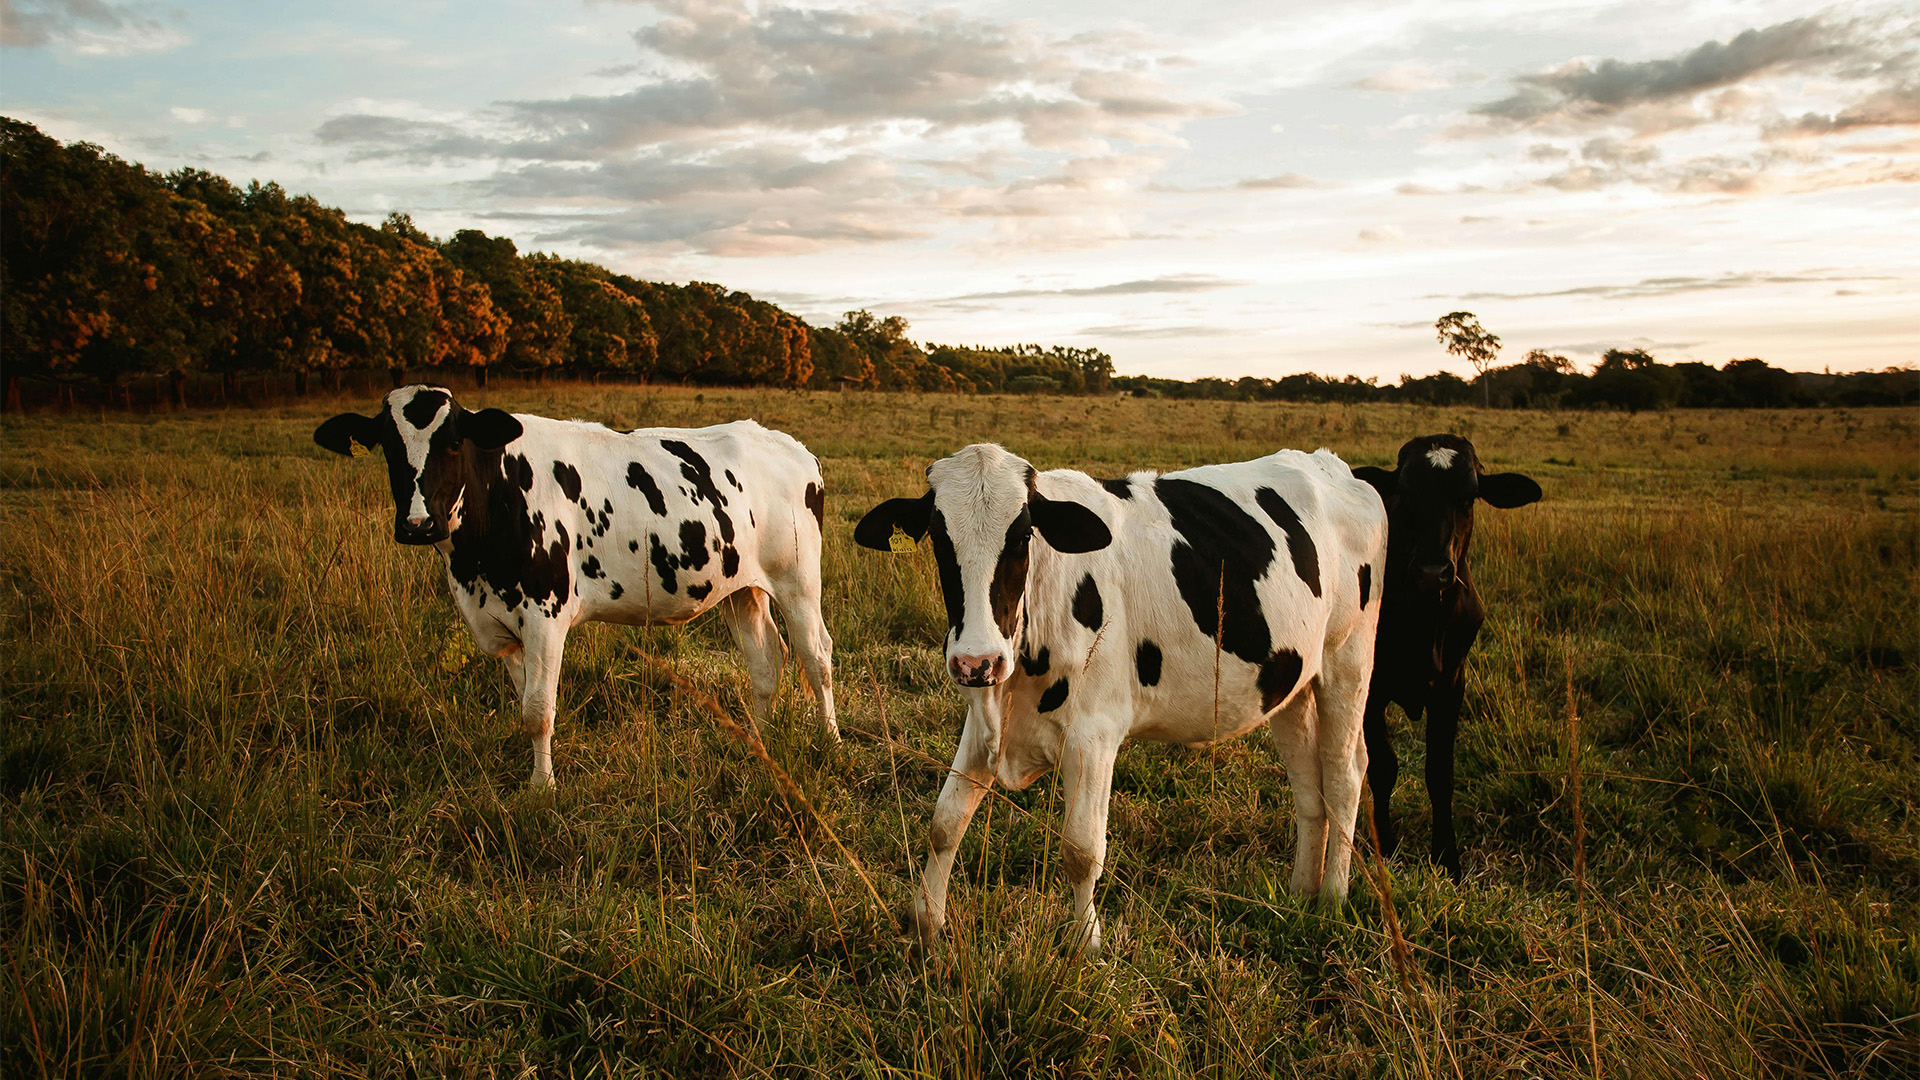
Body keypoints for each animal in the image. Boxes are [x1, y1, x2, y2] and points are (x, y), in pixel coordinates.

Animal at [311, 386, 837, 780]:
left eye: (454, 443)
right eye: (387, 445)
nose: (418, 524)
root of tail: (793, 447)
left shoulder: (545, 614)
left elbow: (539, 709)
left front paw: (542, 790)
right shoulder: (500, 625)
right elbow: (524, 705)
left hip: (798, 580)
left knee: (816, 656)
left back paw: (828, 741)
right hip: (741, 587)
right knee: (766, 660)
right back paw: (758, 743)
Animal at [864, 441, 1390, 945]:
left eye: (1022, 537)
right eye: (938, 538)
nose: (976, 661)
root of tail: (1334, 466)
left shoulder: (1093, 735)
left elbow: (1080, 849)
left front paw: (1086, 944)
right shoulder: (983, 724)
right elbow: (945, 822)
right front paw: (926, 925)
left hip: (1348, 659)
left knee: (1343, 775)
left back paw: (1333, 899)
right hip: (1290, 681)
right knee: (1308, 784)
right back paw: (1300, 894)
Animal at [1351, 430, 1543, 876]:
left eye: (1469, 496)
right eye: (1405, 492)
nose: (1432, 571)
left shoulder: (1452, 684)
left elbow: (1440, 773)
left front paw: (1447, 857)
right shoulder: (1372, 688)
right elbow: (1384, 767)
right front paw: (1387, 845)